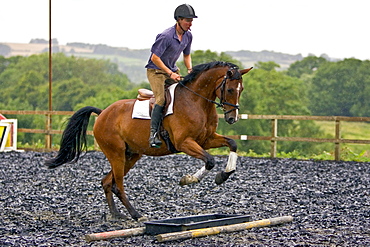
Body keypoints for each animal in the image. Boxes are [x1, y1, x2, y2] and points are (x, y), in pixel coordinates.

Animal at [44, 60, 253, 221]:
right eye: (230, 89)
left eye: (242, 89)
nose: (232, 118)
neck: (196, 101)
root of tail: (103, 113)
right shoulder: (184, 142)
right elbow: (209, 160)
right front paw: (189, 179)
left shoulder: (206, 140)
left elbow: (232, 144)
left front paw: (224, 175)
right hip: (116, 154)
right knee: (118, 185)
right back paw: (136, 214)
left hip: (131, 155)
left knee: (107, 182)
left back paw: (117, 214)